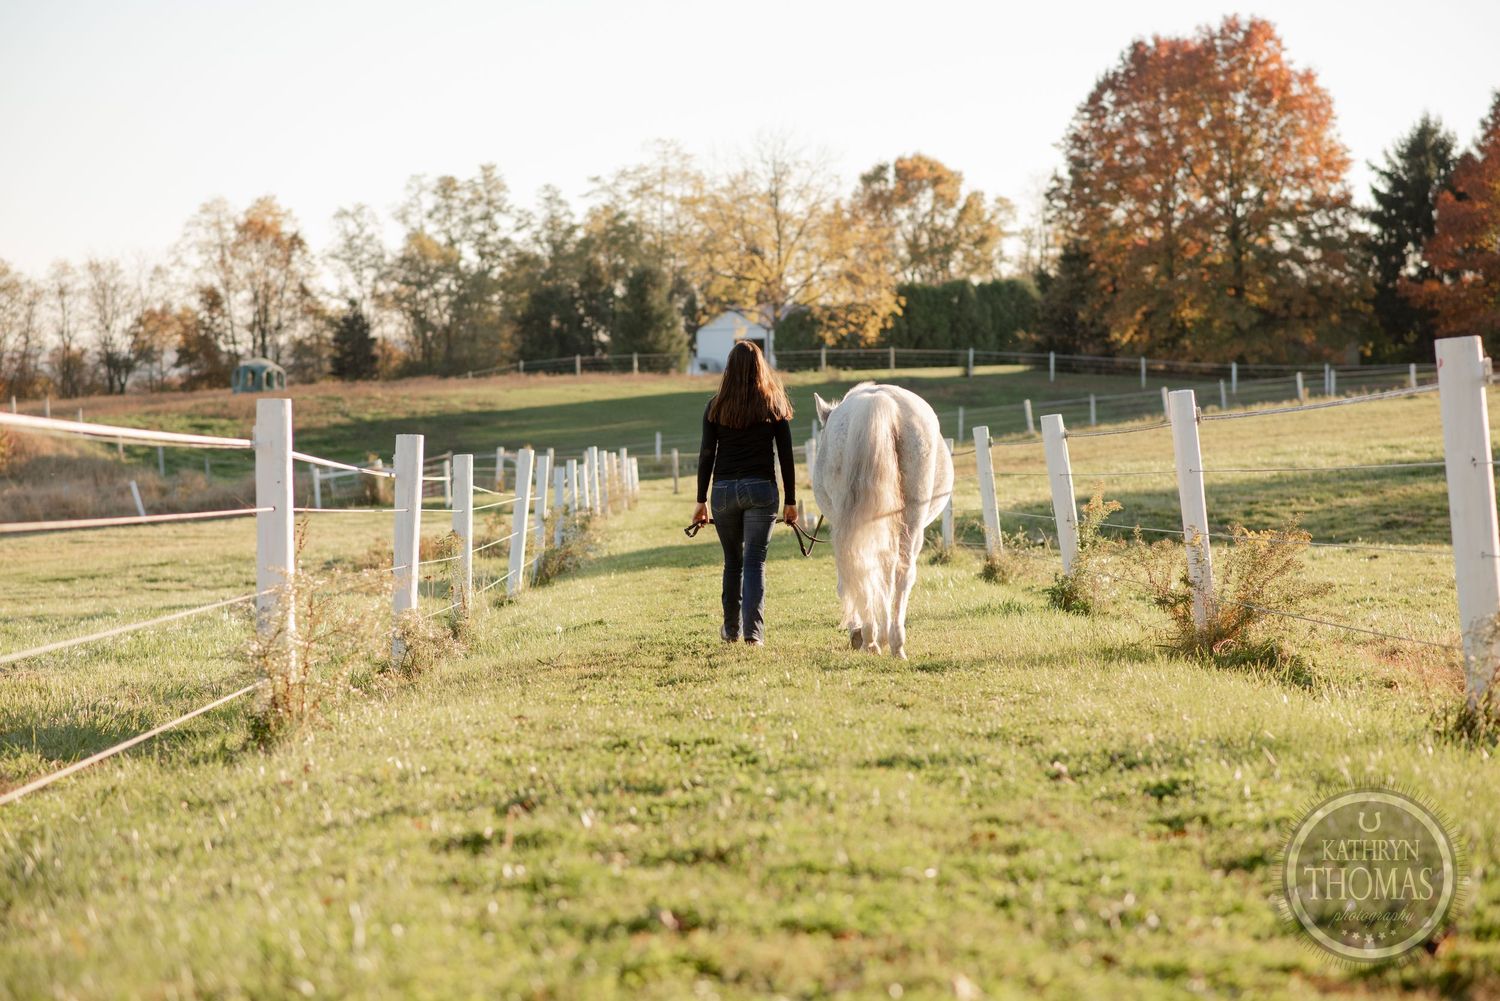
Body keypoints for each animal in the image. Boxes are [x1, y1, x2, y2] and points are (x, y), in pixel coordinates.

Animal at [811, 382, 954, 659]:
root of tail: (878, 402)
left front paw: (859, 632)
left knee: (870, 567)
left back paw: (872, 637)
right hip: (912, 521)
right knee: (900, 572)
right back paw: (893, 641)